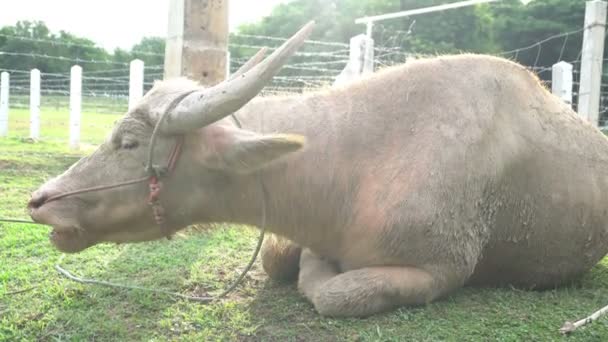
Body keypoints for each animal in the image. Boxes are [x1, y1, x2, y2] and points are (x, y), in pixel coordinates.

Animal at [29, 22, 608, 318]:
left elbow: (332, 293)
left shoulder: (441, 269)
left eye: (128, 141)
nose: (40, 200)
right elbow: (280, 259)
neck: (354, 162)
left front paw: (319, 271)